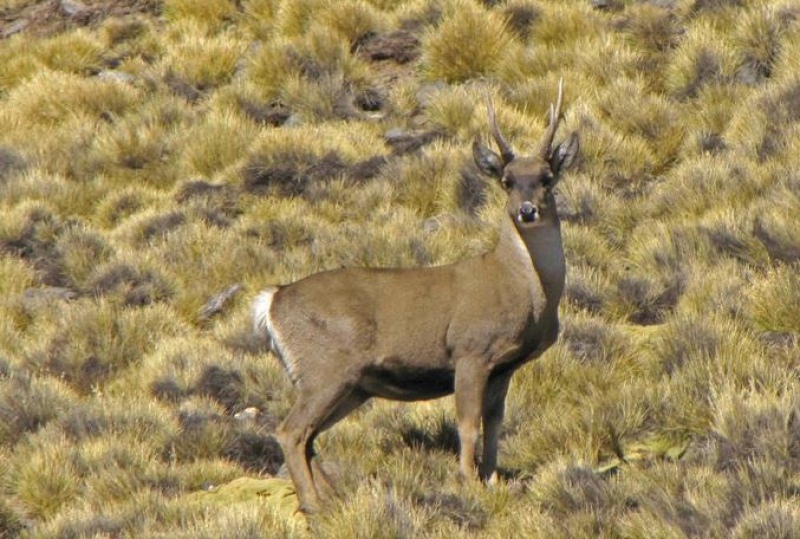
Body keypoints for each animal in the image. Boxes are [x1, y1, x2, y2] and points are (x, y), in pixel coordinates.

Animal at [253, 81, 580, 516]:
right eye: (507, 181)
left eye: (546, 178)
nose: (527, 211)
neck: (520, 287)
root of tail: (272, 301)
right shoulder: (470, 351)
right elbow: (467, 424)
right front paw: (468, 482)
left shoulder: (504, 367)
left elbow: (494, 425)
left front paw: (493, 480)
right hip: (325, 371)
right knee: (290, 431)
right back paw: (315, 506)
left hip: (349, 385)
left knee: (309, 438)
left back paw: (331, 498)